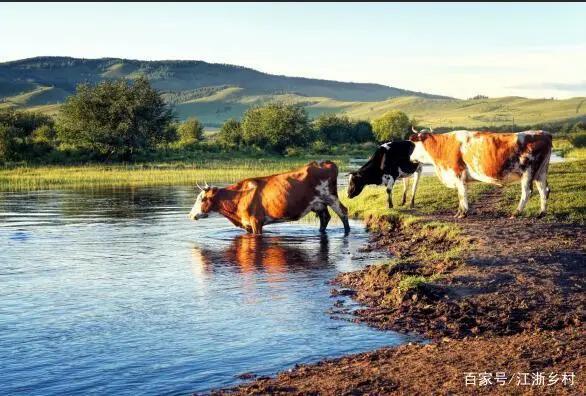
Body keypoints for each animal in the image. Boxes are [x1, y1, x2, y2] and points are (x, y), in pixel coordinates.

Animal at [189, 161, 350, 235]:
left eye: (202, 199)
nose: (190, 215)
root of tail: (324, 163)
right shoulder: (247, 224)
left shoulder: (256, 221)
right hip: (318, 204)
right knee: (325, 218)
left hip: (330, 197)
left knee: (343, 212)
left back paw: (347, 232)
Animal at [408, 128, 548, 218]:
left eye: (414, 145)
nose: (410, 157)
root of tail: (543, 133)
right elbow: (460, 194)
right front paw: (459, 212)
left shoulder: (458, 173)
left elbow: (462, 194)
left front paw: (463, 213)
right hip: (540, 173)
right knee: (544, 190)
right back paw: (541, 213)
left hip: (528, 172)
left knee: (527, 192)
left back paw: (516, 213)